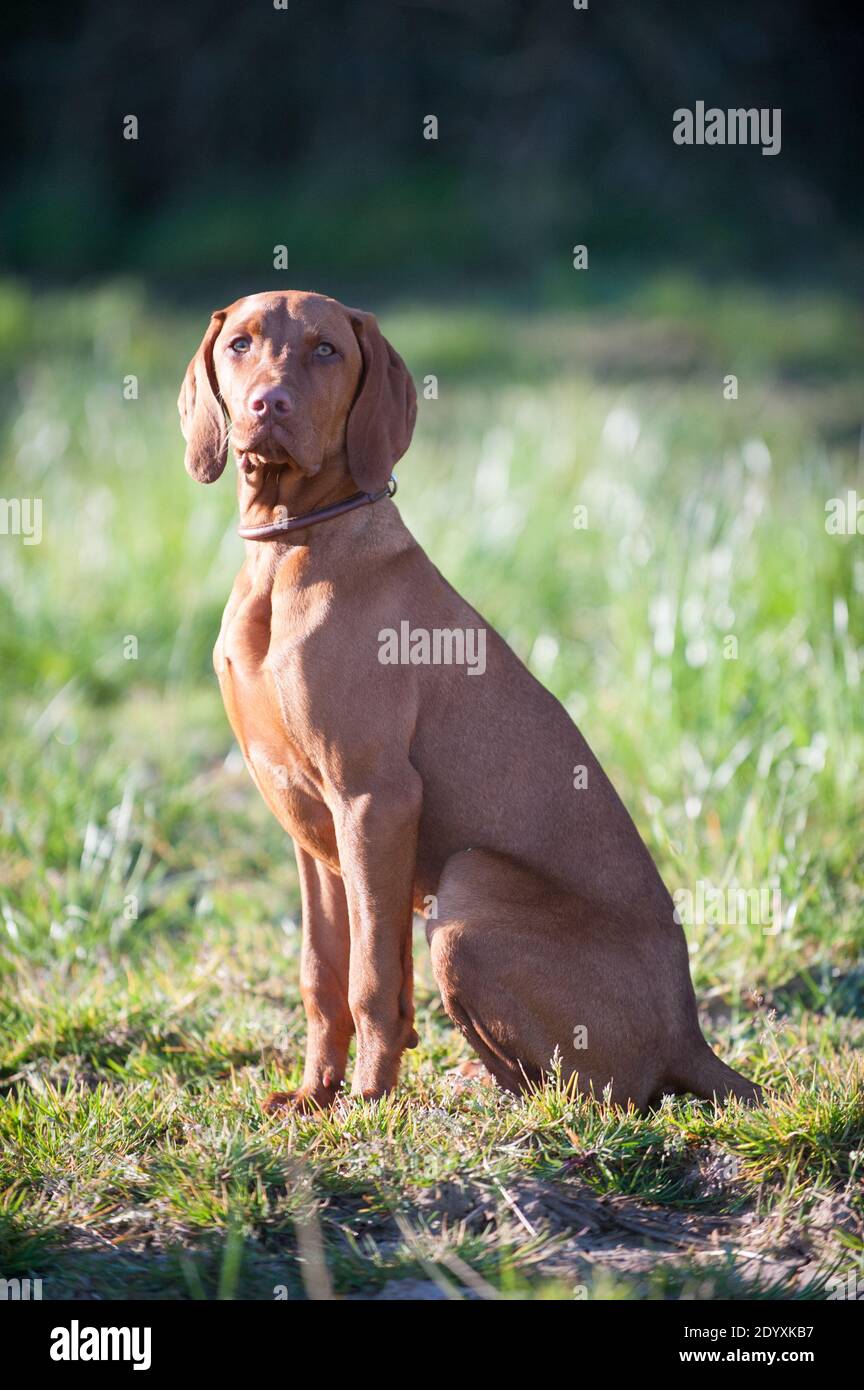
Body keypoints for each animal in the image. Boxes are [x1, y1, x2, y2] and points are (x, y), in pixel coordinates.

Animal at [177, 287, 766, 1112]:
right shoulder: (308, 821)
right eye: (240, 343)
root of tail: (690, 1036)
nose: (269, 403)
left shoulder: (375, 797)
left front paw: (366, 1101)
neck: (289, 548)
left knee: (593, 1094)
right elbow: (323, 974)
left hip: (468, 888)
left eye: (326, 349)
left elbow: (370, 980)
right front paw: (316, 1094)